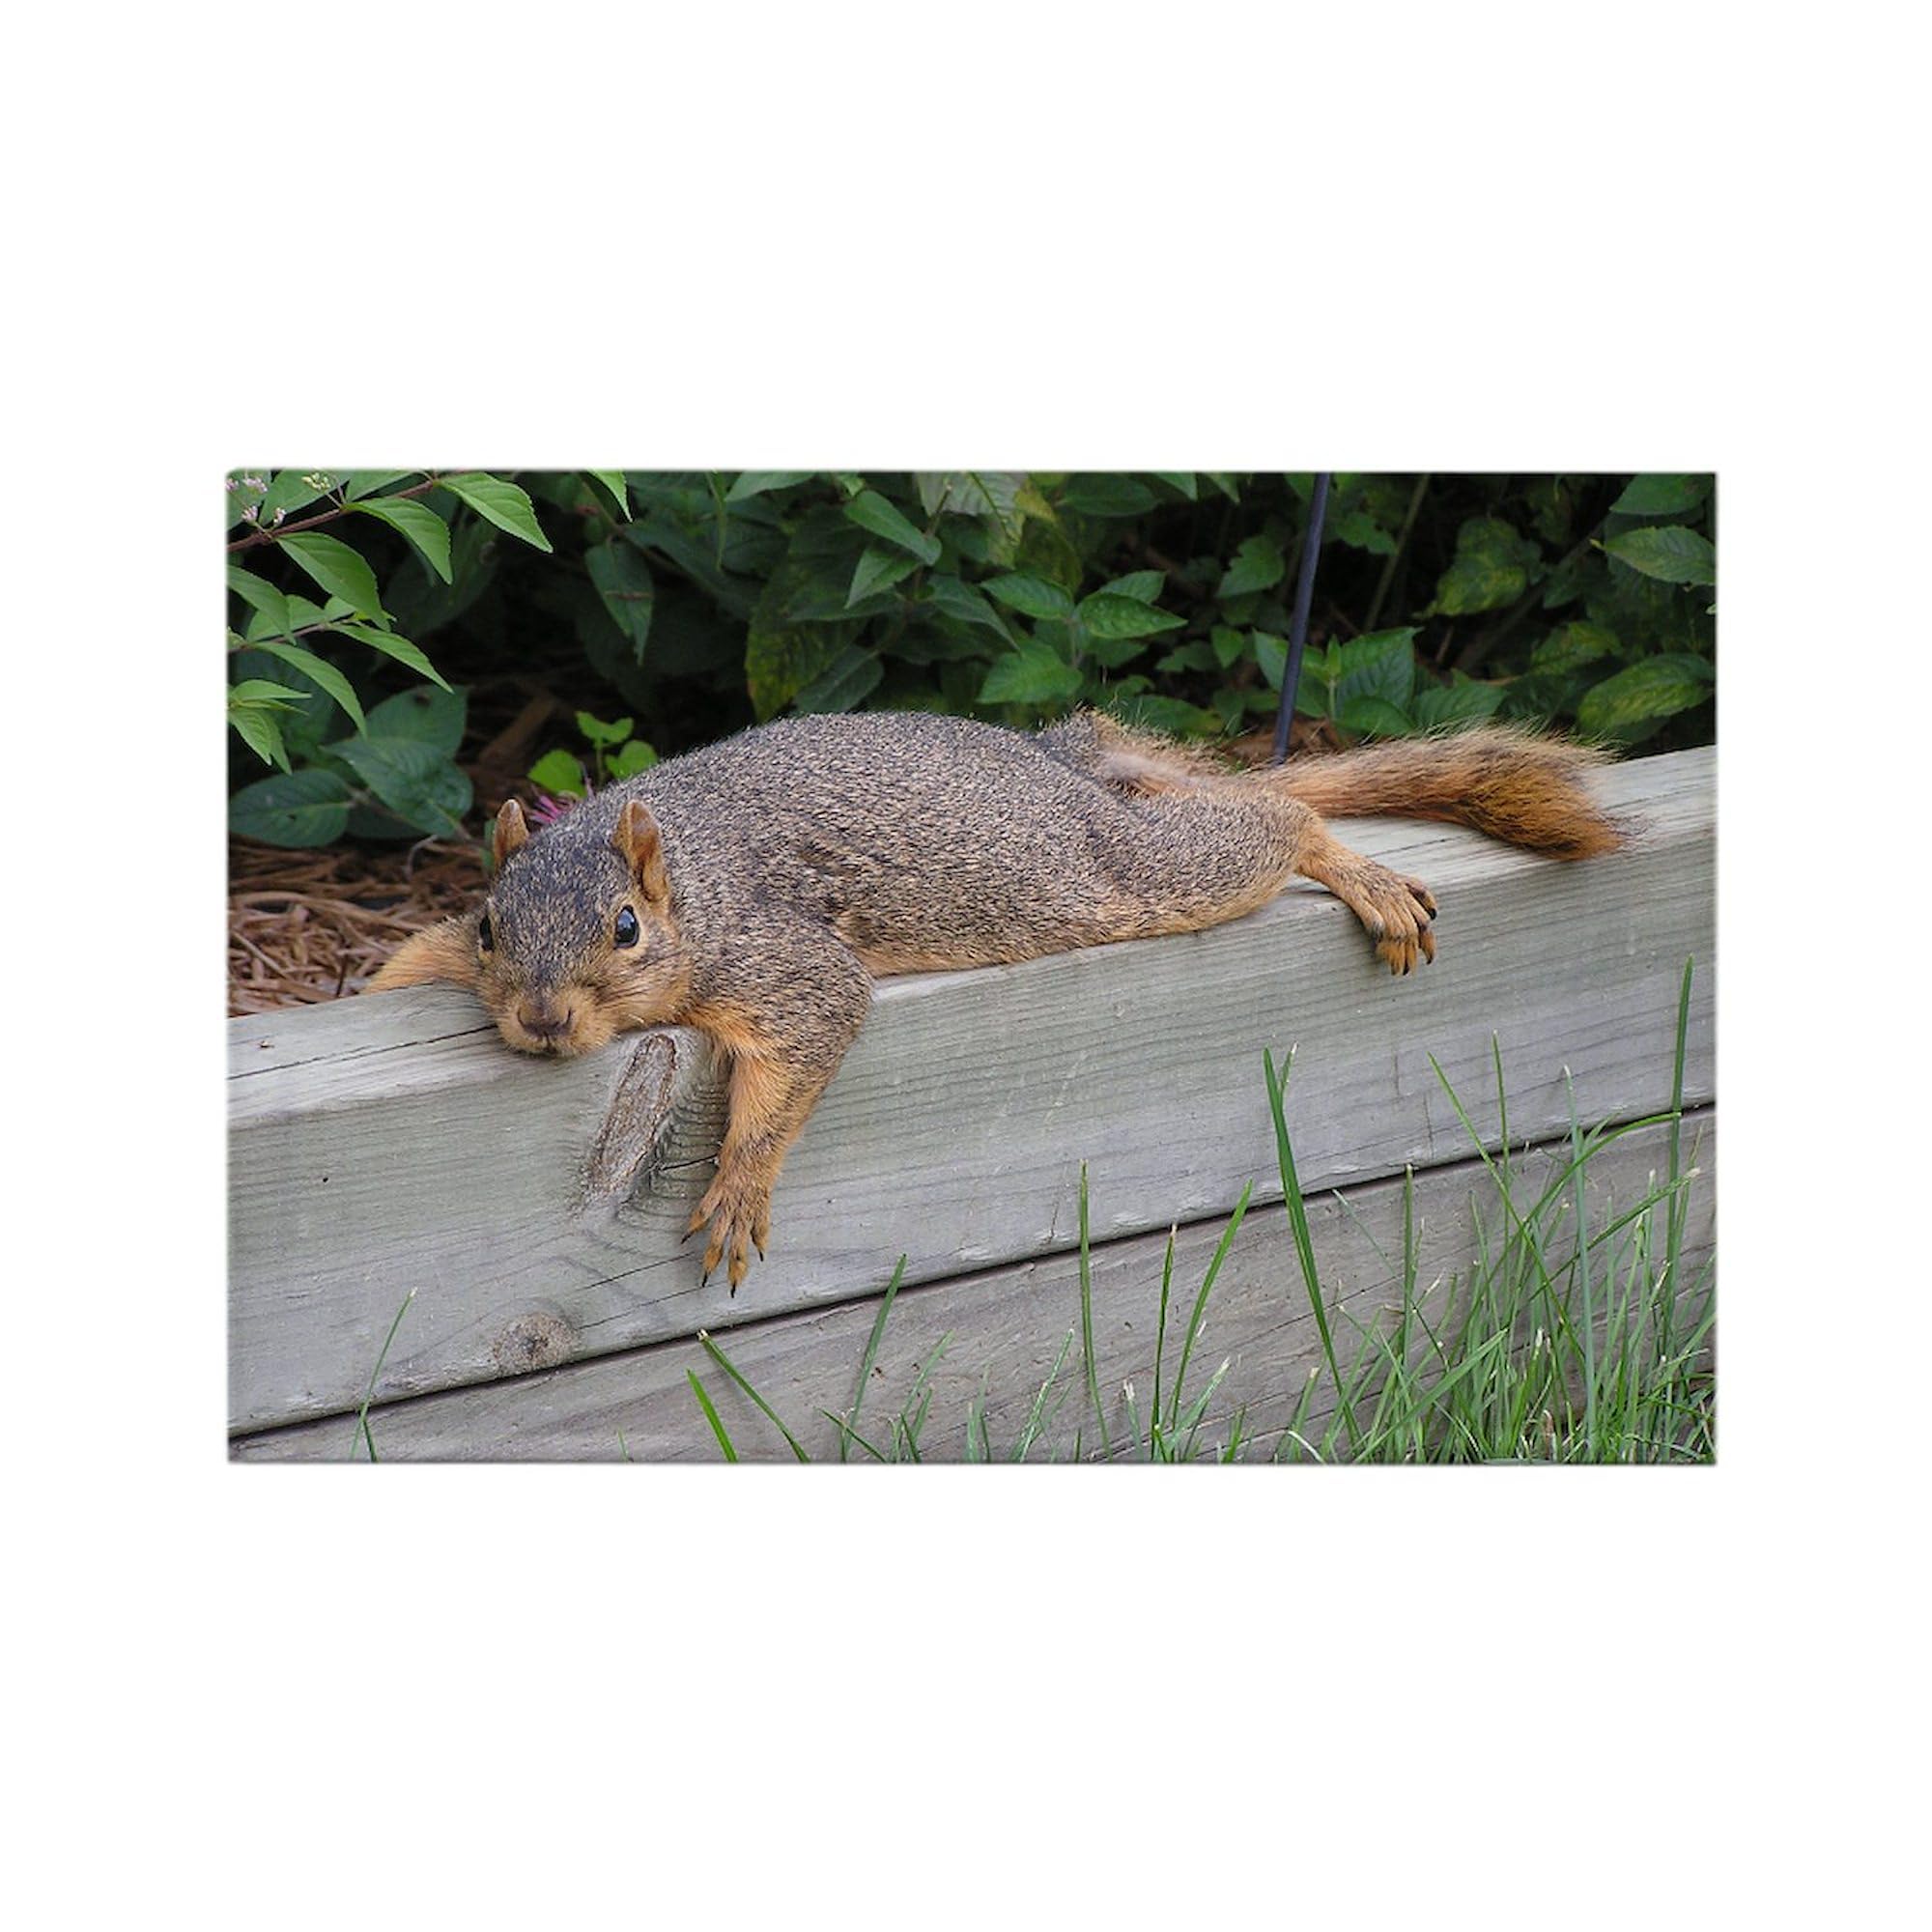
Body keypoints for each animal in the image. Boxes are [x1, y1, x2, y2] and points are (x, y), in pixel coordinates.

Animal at [366, 710, 1622, 1290]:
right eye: (489, 927)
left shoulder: (781, 960)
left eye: (626, 929)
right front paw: (382, 977)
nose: (540, 1021)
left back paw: (1348, 866)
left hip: (1139, 876)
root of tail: (1066, 773)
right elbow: (412, 960)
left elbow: (806, 1042)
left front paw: (735, 1186)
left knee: (1273, 823)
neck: (696, 884)